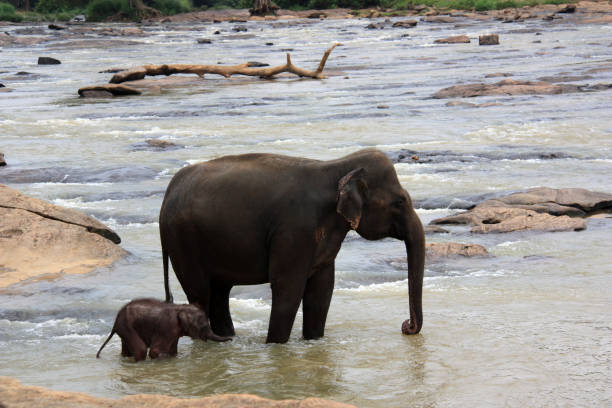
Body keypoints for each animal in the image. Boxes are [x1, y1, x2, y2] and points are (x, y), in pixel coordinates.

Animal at [97, 298, 231, 362]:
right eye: (203, 326)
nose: (230, 339)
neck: (180, 308)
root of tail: (115, 321)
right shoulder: (167, 327)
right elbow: (155, 351)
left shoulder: (174, 332)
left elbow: (173, 351)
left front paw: (172, 358)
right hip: (127, 327)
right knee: (141, 350)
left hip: (125, 329)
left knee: (126, 351)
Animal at [160, 148, 424, 342]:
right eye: (400, 202)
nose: (406, 326)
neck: (337, 167)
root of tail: (168, 192)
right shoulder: (295, 229)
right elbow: (288, 289)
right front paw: (275, 346)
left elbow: (322, 291)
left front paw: (314, 342)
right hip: (182, 240)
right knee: (200, 293)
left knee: (219, 294)